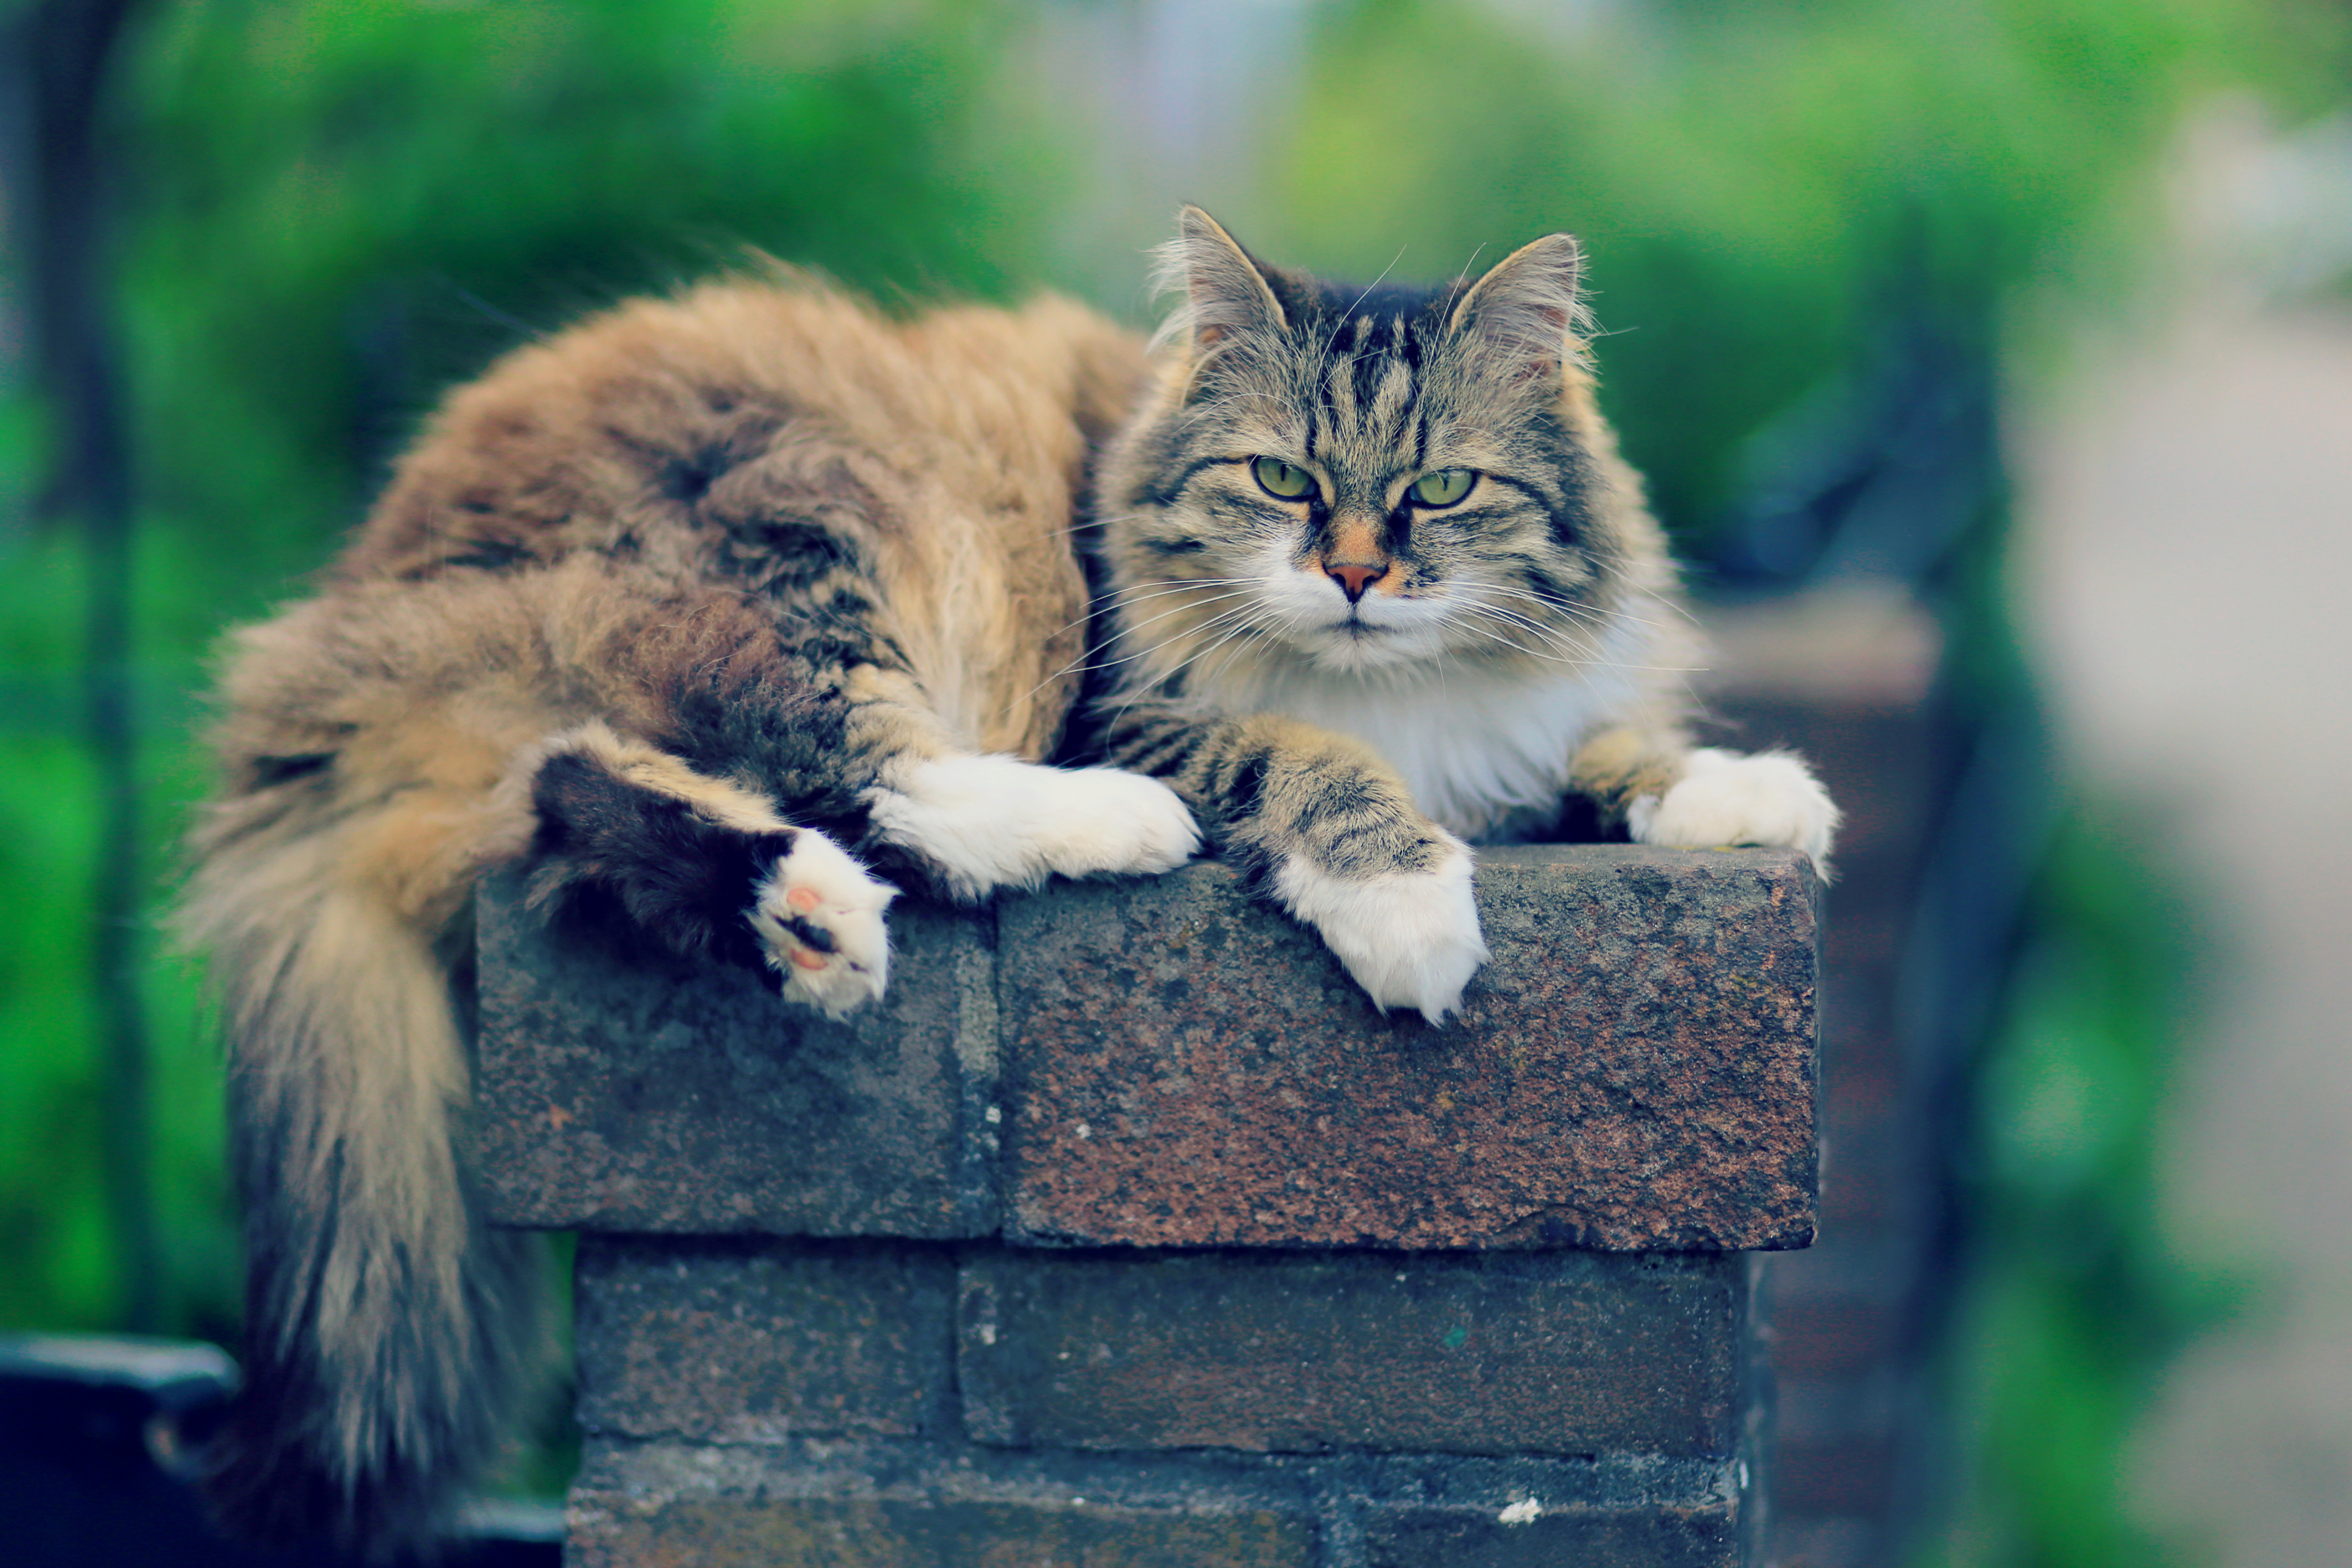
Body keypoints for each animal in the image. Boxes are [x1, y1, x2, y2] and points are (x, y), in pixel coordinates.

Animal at [179, 208, 1834, 1560]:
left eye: (1438, 490)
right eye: (1281, 479)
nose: (1356, 575)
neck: (1395, 693)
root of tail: (340, 629)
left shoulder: (1520, 734)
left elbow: (1618, 750)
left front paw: (1751, 796)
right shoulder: (1140, 702)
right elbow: (1302, 758)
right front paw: (1409, 908)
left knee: (589, 785)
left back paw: (809, 920)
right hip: (842, 528)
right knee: (873, 767)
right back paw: (1082, 836)